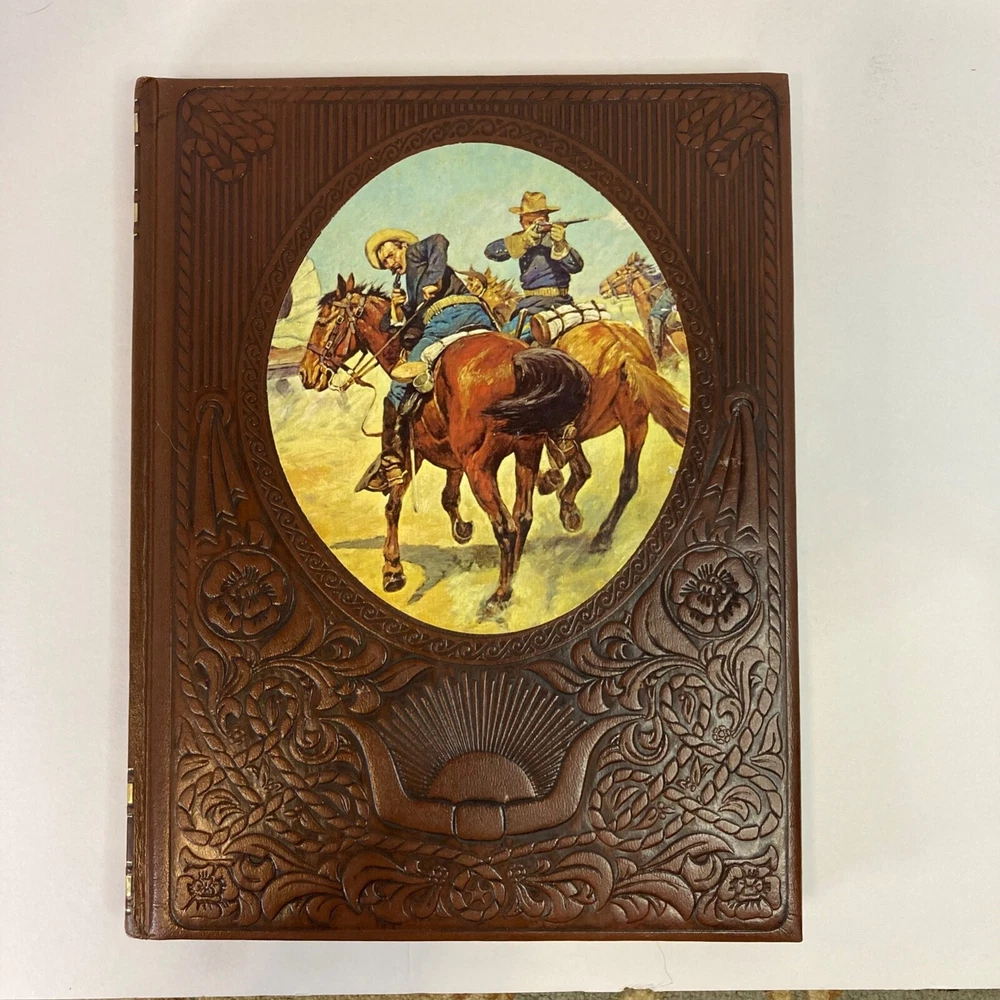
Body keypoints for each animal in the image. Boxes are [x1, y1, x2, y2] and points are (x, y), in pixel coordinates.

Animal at [298, 274, 590, 616]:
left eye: (324, 321)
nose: (306, 373)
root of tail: (519, 360)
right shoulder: (452, 455)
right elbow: (449, 495)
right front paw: (461, 528)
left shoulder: (413, 452)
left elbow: (393, 503)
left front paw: (392, 569)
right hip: (527, 452)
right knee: (523, 516)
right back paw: (516, 568)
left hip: (481, 467)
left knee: (506, 526)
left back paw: (499, 595)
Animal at [539, 315, 689, 552]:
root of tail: (624, 352)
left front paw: (561, 500)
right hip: (636, 424)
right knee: (628, 481)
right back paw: (603, 534)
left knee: (573, 458)